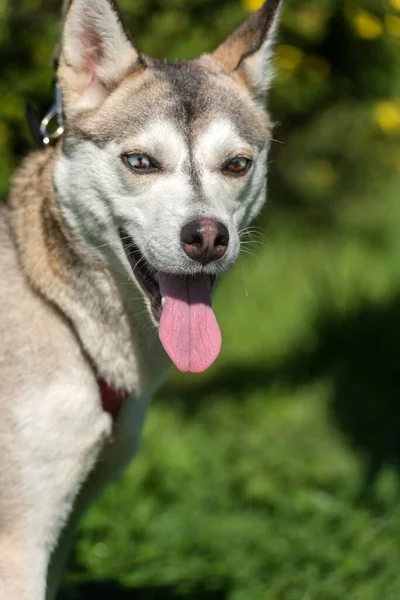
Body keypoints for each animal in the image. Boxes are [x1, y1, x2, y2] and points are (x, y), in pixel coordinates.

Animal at [0, 2, 282, 596]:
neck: (59, 310)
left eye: (237, 164)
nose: (207, 237)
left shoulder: (65, 525)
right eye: (141, 162)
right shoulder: (20, 543)